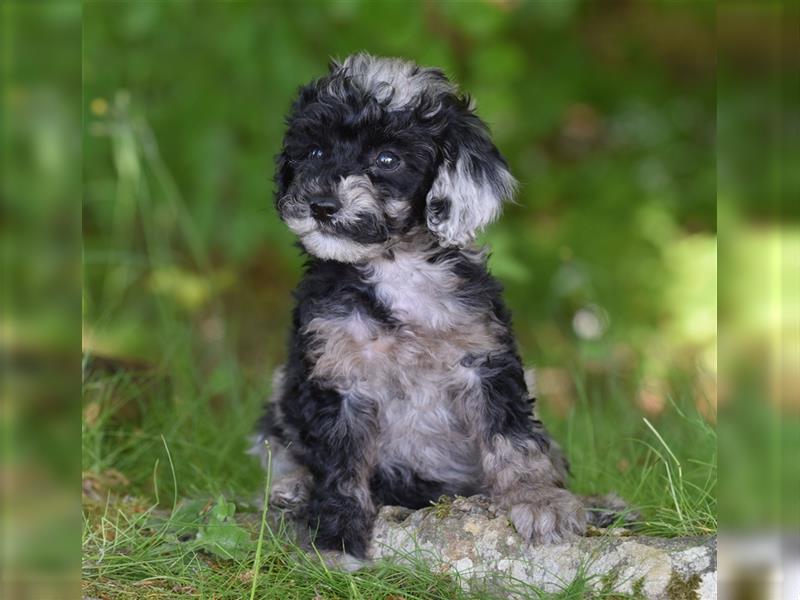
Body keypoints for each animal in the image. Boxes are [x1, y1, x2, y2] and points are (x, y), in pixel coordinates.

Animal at [253, 54, 628, 560]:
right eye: (313, 152)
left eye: (387, 159)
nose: (321, 205)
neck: (397, 269)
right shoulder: (335, 373)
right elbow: (340, 465)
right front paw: (337, 536)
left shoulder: (484, 358)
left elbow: (514, 437)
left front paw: (539, 500)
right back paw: (290, 487)